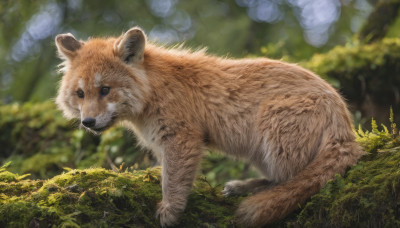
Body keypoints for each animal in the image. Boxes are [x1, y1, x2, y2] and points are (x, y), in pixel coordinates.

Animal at [54, 26, 364, 226]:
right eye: (80, 94)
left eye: (105, 90)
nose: (87, 122)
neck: (153, 89)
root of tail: (343, 117)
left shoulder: (181, 138)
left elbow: (172, 182)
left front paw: (170, 211)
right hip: (260, 152)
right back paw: (244, 187)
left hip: (272, 129)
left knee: (293, 181)